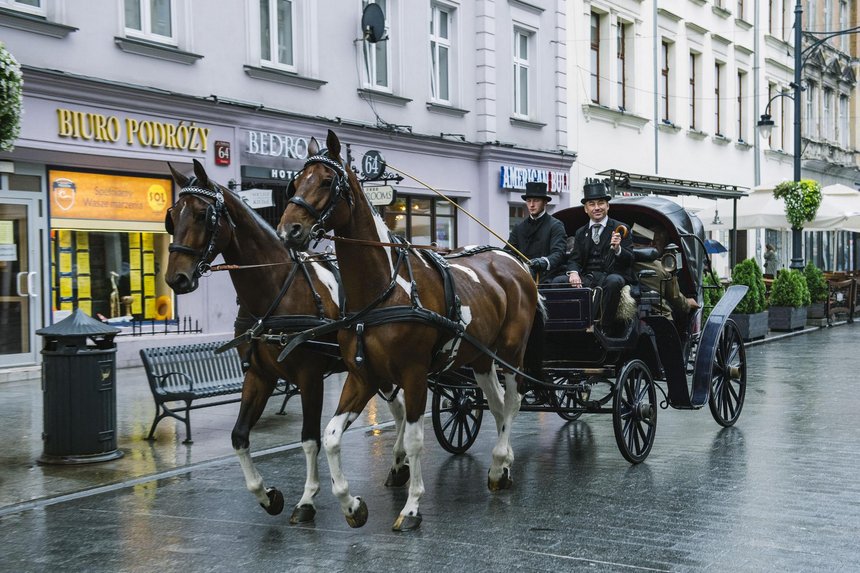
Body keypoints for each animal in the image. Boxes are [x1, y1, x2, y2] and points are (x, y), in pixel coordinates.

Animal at [165, 160, 414, 524]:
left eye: (201, 214)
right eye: (172, 216)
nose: (176, 278)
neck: (277, 287)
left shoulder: (310, 377)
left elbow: (309, 439)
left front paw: (307, 500)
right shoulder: (259, 375)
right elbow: (239, 436)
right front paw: (267, 496)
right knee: (399, 408)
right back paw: (398, 465)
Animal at [278, 131, 536, 532]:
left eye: (325, 181)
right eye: (295, 181)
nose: (289, 229)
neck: (384, 289)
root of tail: (513, 261)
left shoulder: (414, 375)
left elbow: (414, 439)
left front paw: (412, 506)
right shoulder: (362, 376)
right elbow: (331, 436)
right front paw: (351, 505)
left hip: (510, 353)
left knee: (512, 402)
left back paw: (501, 462)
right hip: (480, 356)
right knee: (495, 404)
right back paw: (499, 465)